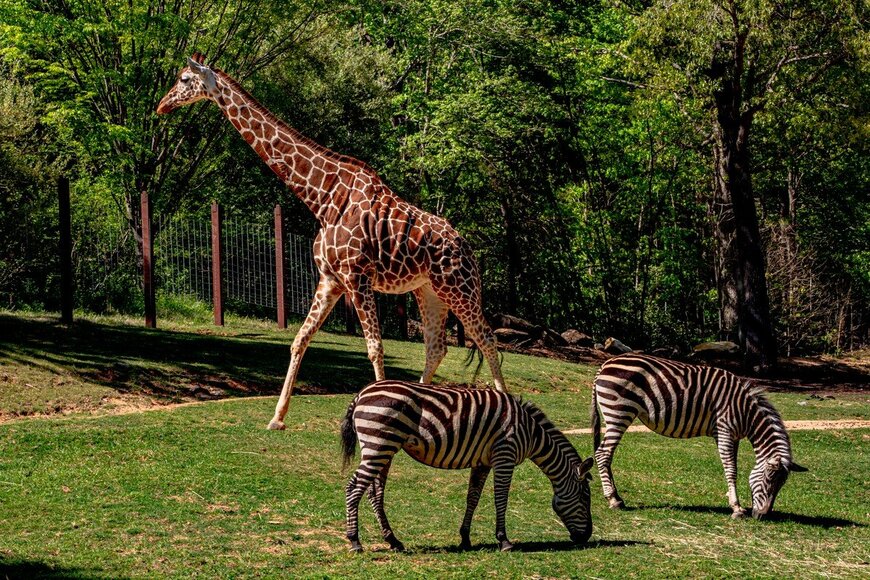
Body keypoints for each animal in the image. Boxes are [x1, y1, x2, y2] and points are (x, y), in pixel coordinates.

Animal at [160, 54, 508, 428]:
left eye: (183, 79)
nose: (162, 105)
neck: (323, 197)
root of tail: (468, 248)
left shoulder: (357, 277)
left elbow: (375, 348)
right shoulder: (330, 280)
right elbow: (299, 339)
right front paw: (277, 418)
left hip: (459, 288)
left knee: (487, 339)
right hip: (428, 291)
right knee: (436, 347)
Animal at [338, 380, 592, 552]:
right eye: (584, 497)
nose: (587, 536)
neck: (531, 432)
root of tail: (361, 394)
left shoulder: (483, 462)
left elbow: (473, 498)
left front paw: (465, 538)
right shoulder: (505, 455)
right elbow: (501, 498)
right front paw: (504, 540)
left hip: (383, 449)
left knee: (374, 492)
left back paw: (393, 540)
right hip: (378, 445)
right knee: (353, 488)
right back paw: (354, 541)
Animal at [592, 354, 812, 520]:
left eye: (781, 486)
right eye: (769, 480)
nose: (762, 516)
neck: (746, 413)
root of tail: (604, 365)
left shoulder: (734, 437)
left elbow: (733, 466)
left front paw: (732, 500)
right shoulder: (724, 430)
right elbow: (731, 468)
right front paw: (736, 508)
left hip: (616, 415)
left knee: (605, 454)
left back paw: (616, 497)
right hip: (619, 412)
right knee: (603, 454)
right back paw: (613, 499)